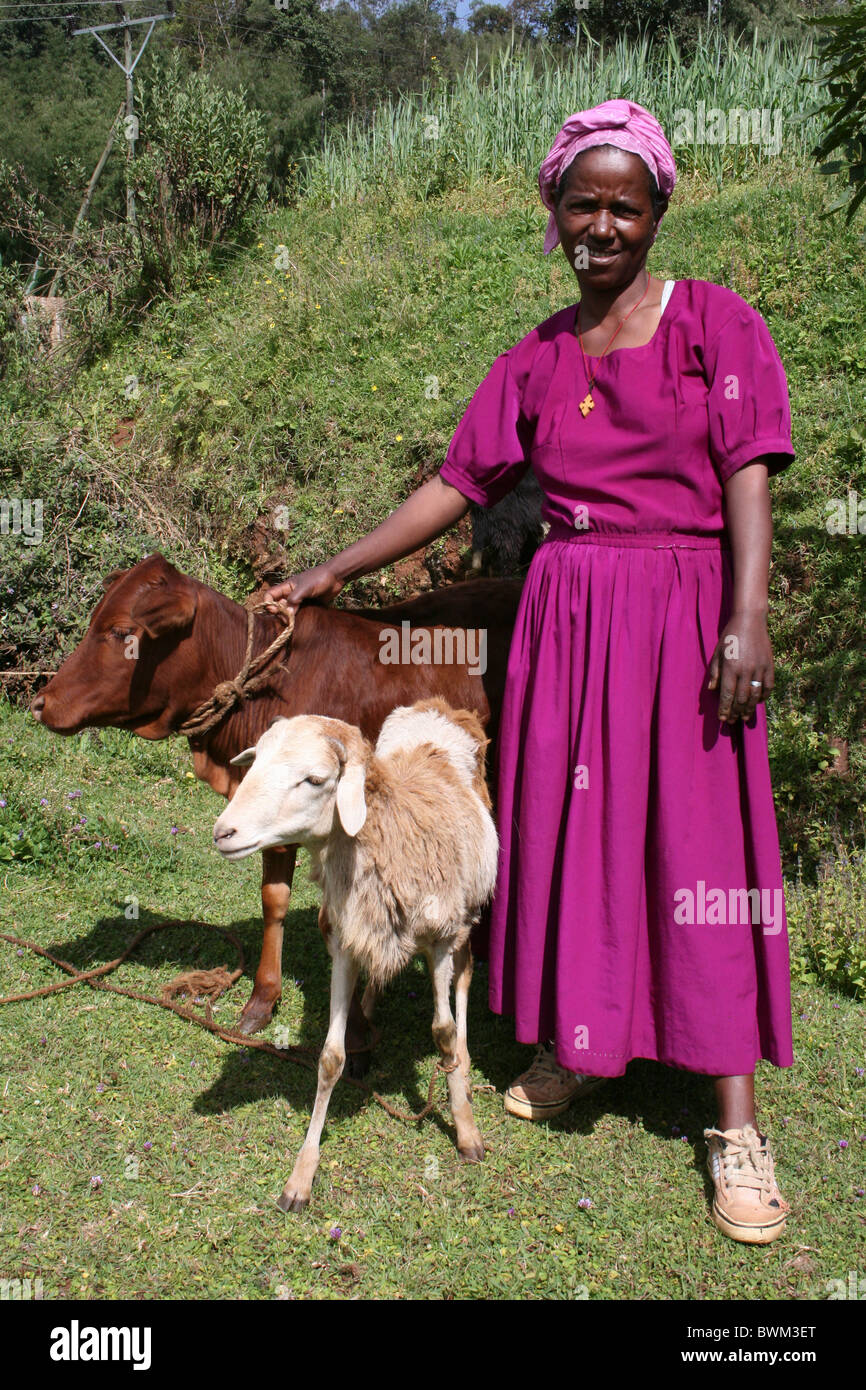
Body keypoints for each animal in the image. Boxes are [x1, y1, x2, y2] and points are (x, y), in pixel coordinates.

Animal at [214, 700, 500, 1212]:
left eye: (313, 779)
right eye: (256, 762)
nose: (223, 832)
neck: (389, 833)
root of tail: (438, 706)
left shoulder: (441, 938)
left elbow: (443, 1032)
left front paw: (464, 1126)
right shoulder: (347, 941)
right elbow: (330, 1057)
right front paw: (301, 1175)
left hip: (468, 916)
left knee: (465, 983)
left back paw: (463, 1067)